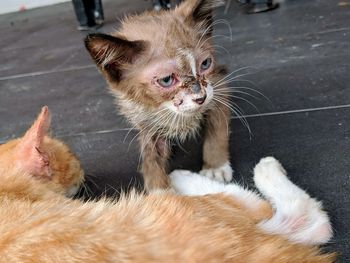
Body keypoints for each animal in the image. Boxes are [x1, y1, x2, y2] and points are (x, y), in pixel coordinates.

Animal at [84, 0, 232, 191]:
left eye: (205, 64)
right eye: (167, 80)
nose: (201, 98)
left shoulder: (218, 90)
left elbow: (216, 131)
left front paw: (215, 167)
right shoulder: (145, 120)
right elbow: (150, 156)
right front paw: (161, 191)